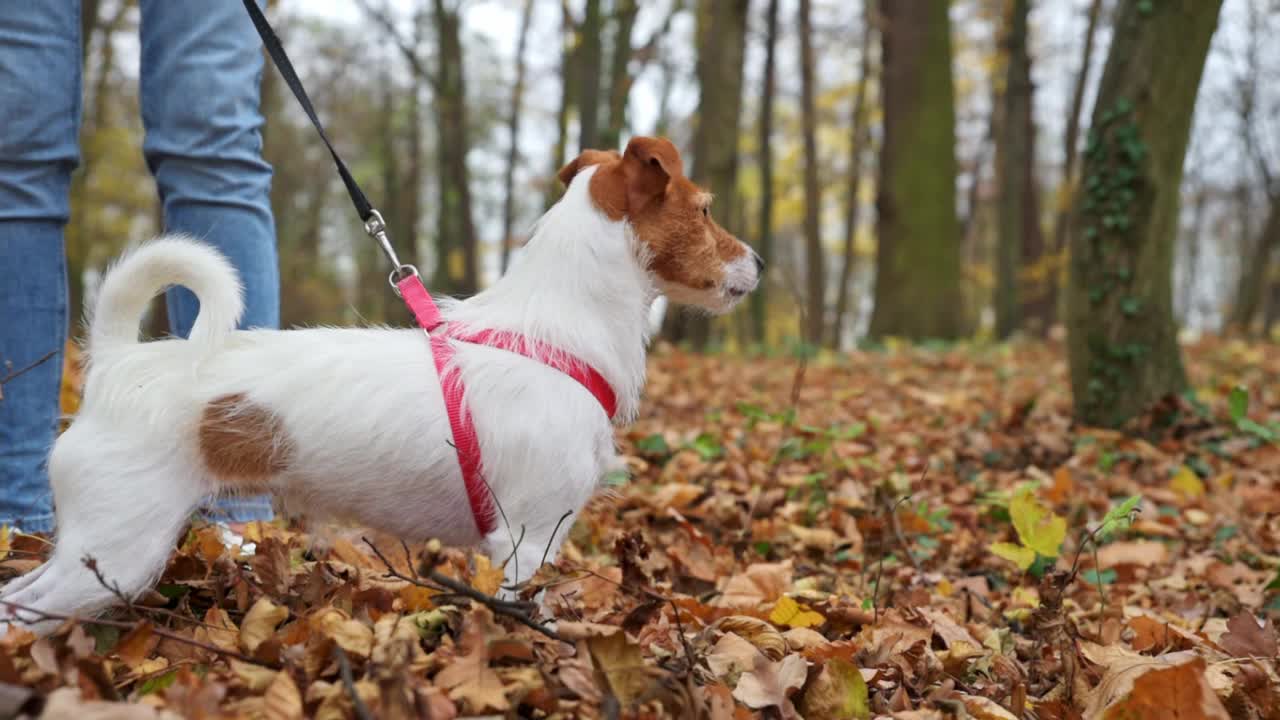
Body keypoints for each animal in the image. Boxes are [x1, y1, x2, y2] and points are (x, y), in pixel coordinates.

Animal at [2, 135, 757, 632]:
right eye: (706, 209)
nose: (757, 261)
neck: (554, 329)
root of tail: (116, 364)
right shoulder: (527, 541)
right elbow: (526, 621)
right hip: (120, 547)